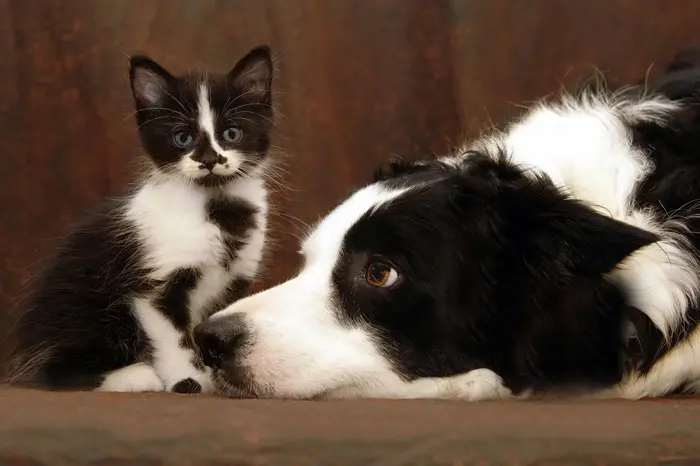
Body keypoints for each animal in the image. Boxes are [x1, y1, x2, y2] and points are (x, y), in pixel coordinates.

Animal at [8, 45, 278, 394]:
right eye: (183, 138)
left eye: (232, 133)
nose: (209, 160)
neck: (214, 207)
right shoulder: (153, 286)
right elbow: (173, 339)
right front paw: (187, 379)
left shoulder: (236, 279)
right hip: (88, 306)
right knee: (55, 369)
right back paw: (136, 375)